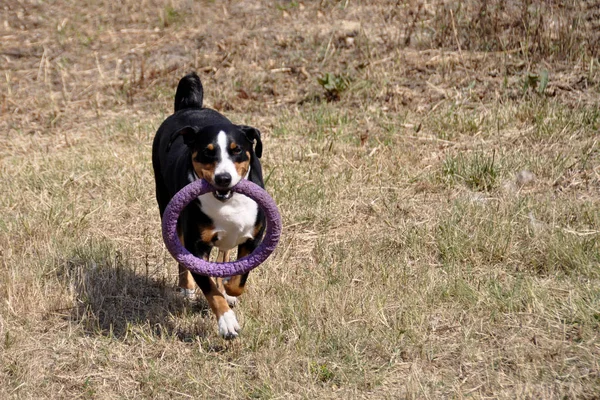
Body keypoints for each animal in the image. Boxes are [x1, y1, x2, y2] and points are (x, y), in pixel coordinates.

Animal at [151, 73, 264, 340]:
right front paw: (227, 322)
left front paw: (230, 291)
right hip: (167, 207)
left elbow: (238, 280)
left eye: (237, 150)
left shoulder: (254, 237)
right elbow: (210, 289)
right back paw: (186, 288)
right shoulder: (196, 245)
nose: (223, 178)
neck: (227, 202)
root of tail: (191, 106)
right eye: (207, 152)